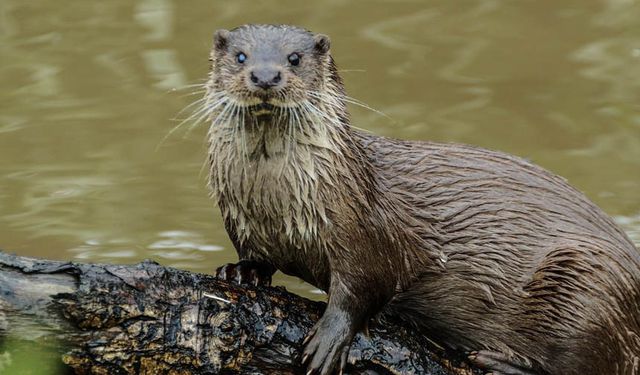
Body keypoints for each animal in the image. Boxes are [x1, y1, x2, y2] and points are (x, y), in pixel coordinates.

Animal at [205, 25, 640, 375]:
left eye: (294, 58)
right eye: (241, 56)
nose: (265, 75)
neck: (274, 205)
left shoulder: (361, 227)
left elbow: (361, 288)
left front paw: (328, 340)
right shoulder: (244, 223)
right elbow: (254, 255)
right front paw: (241, 272)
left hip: (589, 287)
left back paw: (496, 360)